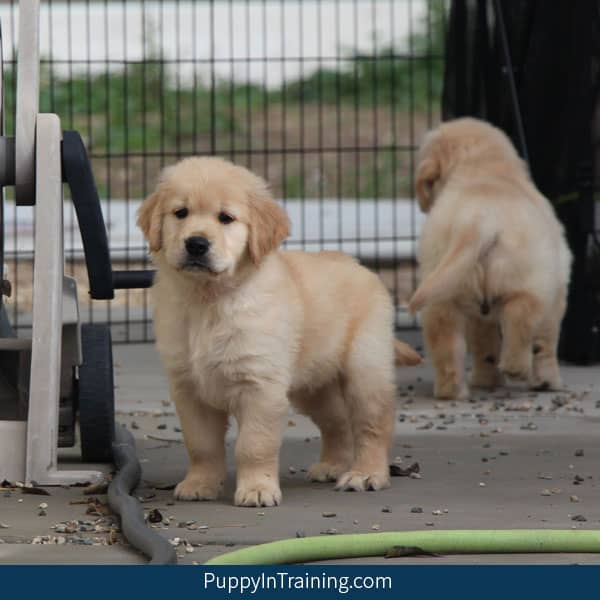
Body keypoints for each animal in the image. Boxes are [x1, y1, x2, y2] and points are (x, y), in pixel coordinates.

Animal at [138, 156, 420, 506]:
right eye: (180, 213)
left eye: (226, 218)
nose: (196, 244)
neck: (209, 301)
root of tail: (359, 266)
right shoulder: (189, 389)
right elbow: (200, 444)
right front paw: (200, 484)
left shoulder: (261, 386)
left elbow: (254, 445)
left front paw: (257, 489)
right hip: (312, 386)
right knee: (337, 420)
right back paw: (332, 465)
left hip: (364, 368)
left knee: (373, 424)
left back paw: (365, 474)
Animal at [408, 116, 572, 398]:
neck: (482, 168)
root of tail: (476, 221)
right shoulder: (557, 291)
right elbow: (546, 344)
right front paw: (547, 382)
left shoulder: (478, 315)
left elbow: (484, 343)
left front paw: (487, 381)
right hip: (530, 284)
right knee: (521, 317)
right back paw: (516, 368)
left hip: (442, 294)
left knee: (447, 345)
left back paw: (452, 391)